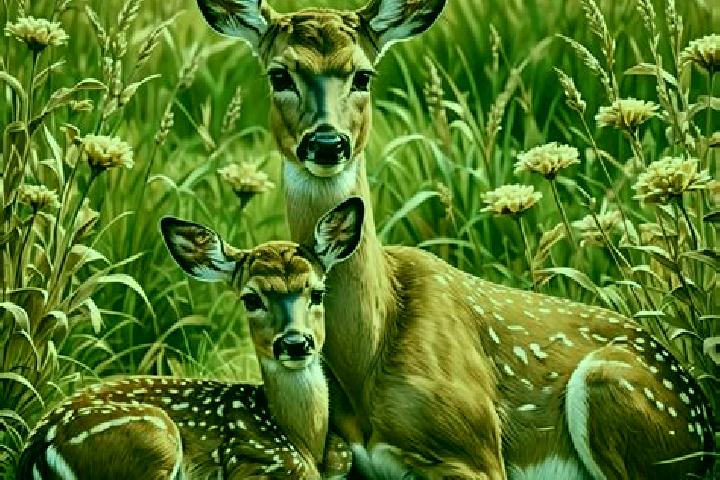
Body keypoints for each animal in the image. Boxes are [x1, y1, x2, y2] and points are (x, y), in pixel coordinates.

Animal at [18, 198, 366, 480]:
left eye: (318, 293)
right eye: (250, 298)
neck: (304, 442)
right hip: (155, 442)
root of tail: (39, 447)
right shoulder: (255, 464)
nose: (295, 343)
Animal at [195, 0, 716, 479]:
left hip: (615, 389)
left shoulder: (476, 447)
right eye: (279, 74)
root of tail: (703, 416)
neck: (369, 354)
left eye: (363, 75)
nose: (327, 143)